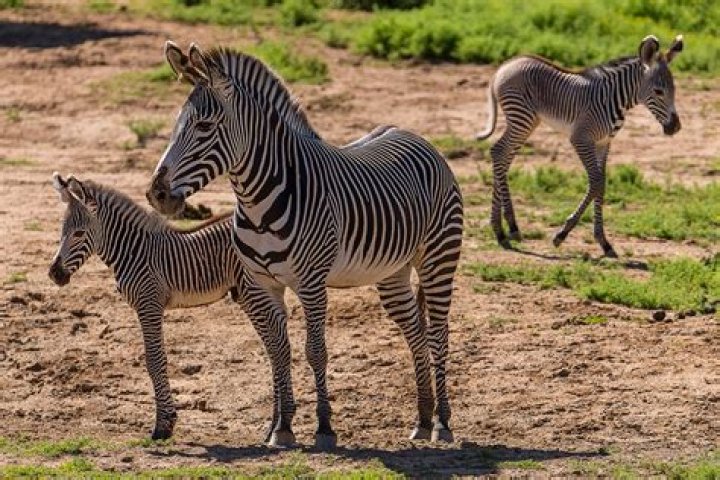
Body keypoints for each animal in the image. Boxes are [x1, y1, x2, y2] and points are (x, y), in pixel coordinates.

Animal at [48, 173, 288, 441]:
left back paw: (279, 427)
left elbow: (154, 361)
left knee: (278, 348)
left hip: (254, 291)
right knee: (276, 349)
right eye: (62, 232)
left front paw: (164, 424)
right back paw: (276, 425)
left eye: (79, 234)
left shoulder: (149, 304)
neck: (133, 251)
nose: (54, 274)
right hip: (252, 294)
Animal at [145, 42, 464, 449]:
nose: (157, 194)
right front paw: (281, 428)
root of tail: (415, 135)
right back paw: (422, 419)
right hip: (392, 271)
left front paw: (324, 428)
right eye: (174, 126)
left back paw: (442, 422)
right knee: (416, 333)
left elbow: (315, 351)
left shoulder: (312, 283)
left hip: (439, 257)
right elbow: (279, 352)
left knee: (438, 334)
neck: (257, 200)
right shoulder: (262, 284)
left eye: (203, 127)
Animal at [476, 34, 683, 257]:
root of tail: (505, 65)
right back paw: (509, 228)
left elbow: (602, 184)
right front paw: (562, 234)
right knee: (499, 152)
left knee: (502, 156)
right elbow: (596, 182)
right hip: (521, 117)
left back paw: (501, 230)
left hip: (527, 121)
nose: (675, 127)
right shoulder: (581, 139)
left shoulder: (604, 142)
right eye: (658, 91)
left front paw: (603, 242)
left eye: (674, 90)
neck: (614, 99)